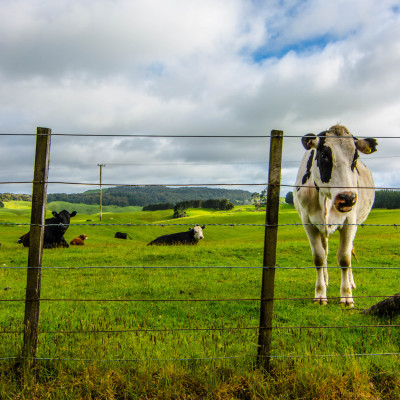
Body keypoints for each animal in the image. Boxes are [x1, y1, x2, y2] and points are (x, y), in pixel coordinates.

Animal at [292, 124, 376, 306]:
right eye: (324, 155)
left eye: (355, 157)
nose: (347, 198)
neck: (326, 198)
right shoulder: (308, 222)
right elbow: (318, 257)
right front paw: (320, 293)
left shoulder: (350, 222)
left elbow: (344, 258)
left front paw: (347, 296)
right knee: (325, 251)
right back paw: (325, 280)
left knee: (349, 250)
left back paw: (351, 283)